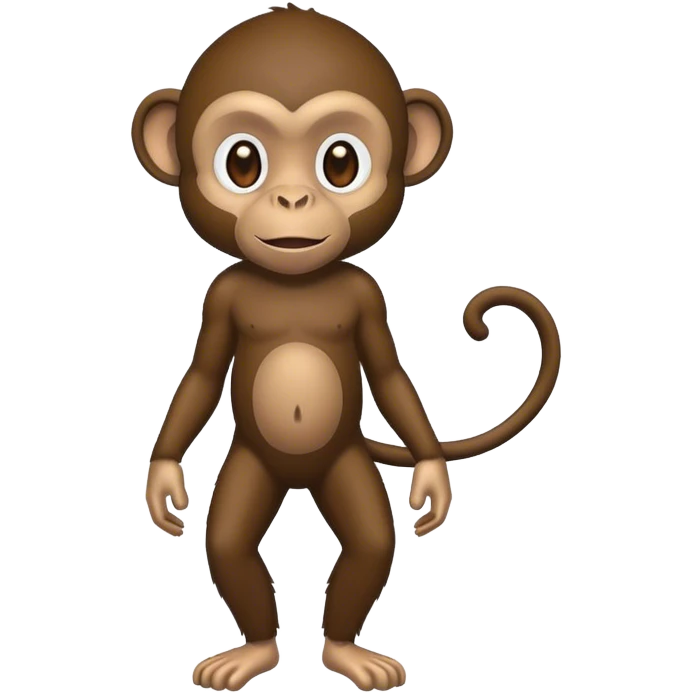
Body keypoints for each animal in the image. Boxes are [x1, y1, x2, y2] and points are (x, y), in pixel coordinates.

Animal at [134, 5, 561, 692]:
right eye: (242, 162)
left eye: (340, 162)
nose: (292, 199)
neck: (295, 279)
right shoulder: (220, 298)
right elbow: (200, 377)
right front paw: (165, 482)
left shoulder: (366, 297)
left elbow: (387, 374)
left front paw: (433, 482)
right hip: (254, 463)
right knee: (228, 545)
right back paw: (254, 650)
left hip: (342, 466)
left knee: (368, 545)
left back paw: (345, 651)